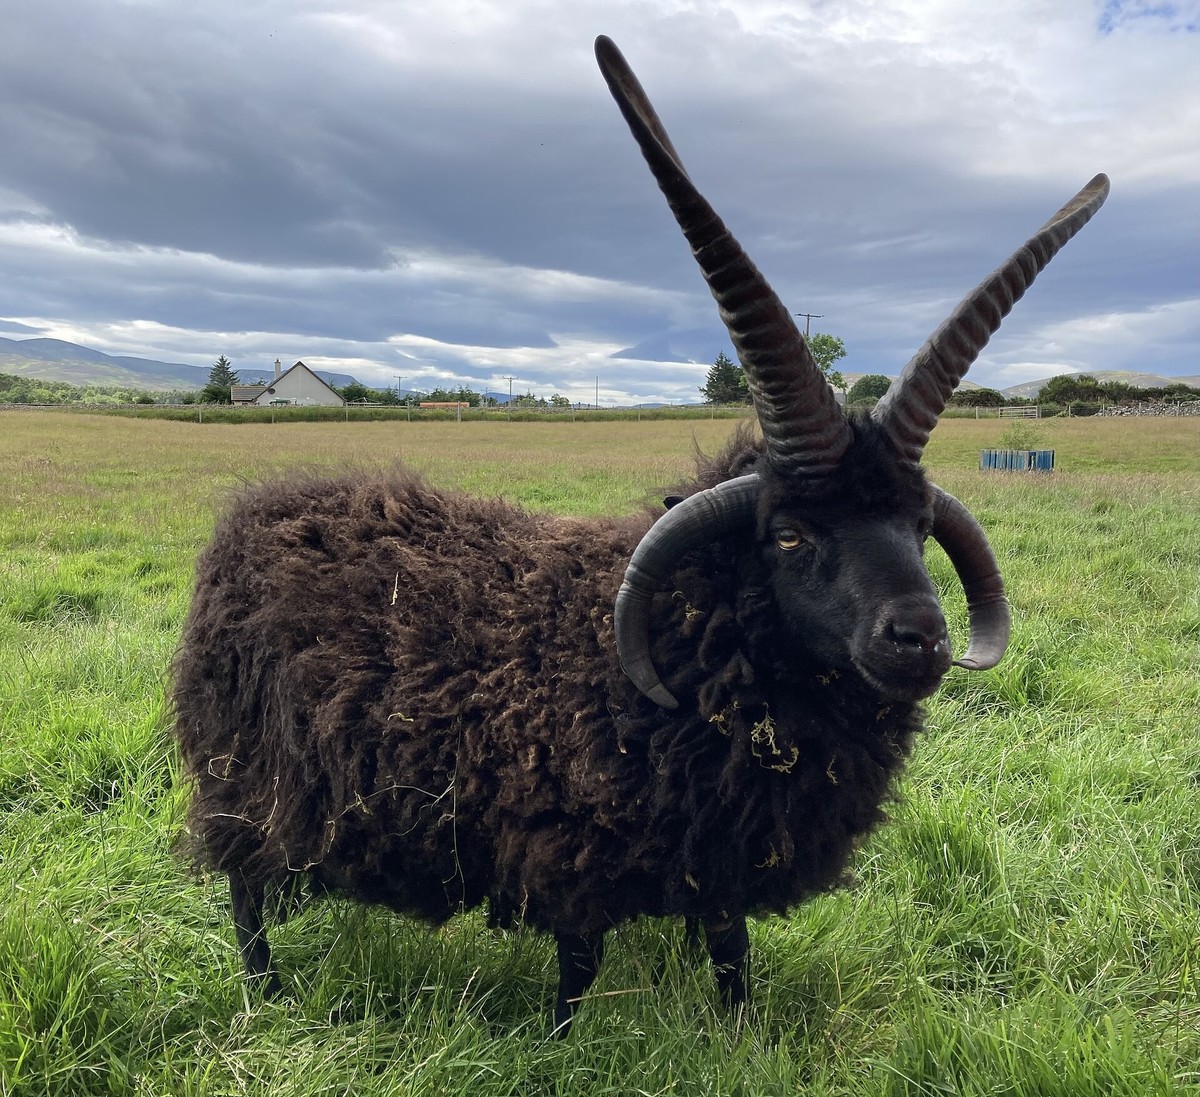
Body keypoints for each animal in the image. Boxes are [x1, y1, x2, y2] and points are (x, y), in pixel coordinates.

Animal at [171, 36, 1108, 1034]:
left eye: (919, 525)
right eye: (787, 535)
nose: (920, 639)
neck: (663, 646)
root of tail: (254, 514)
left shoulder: (719, 846)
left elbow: (731, 945)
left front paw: (738, 1032)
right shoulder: (570, 850)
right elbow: (580, 965)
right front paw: (562, 1041)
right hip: (244, 779)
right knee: (245, 893)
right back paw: (263, 996)